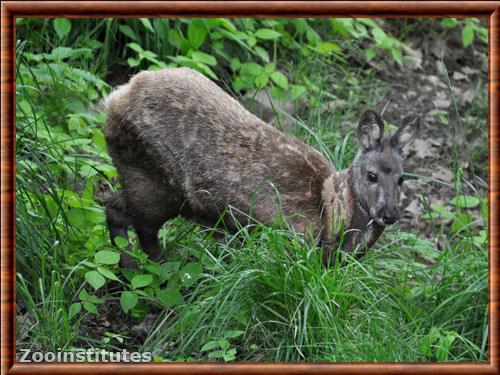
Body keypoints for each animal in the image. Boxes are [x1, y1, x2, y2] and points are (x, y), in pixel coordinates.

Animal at [103, 68, 420, 268]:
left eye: (402, 179)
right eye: (371, 175)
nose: (389, 214)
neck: (331, 212)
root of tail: (115, 97)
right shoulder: (287, 235)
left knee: (113, 205)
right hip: (154, 183)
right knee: (139, 226)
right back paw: (157, 267)